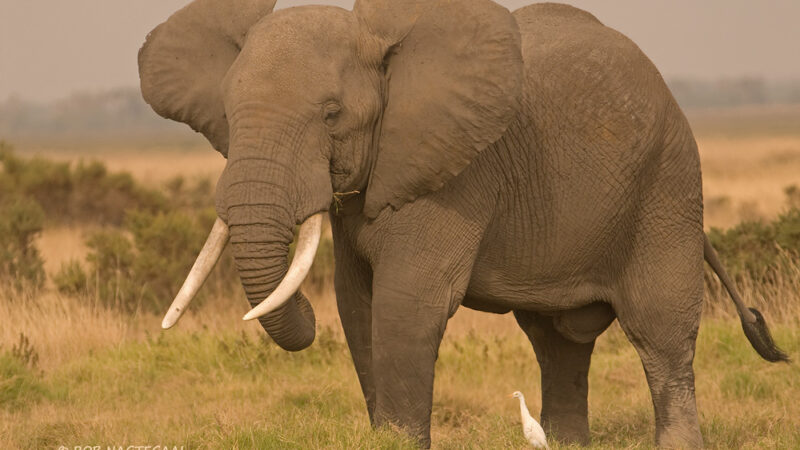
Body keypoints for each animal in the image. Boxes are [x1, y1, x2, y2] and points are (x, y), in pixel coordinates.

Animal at [139, 0, 788, 446]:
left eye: (330, 114)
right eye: (227, 114)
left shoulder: (455, 174)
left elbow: (406, 302)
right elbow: (357, 302)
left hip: (668, 186)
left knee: (660, 334)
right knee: (558, 342)